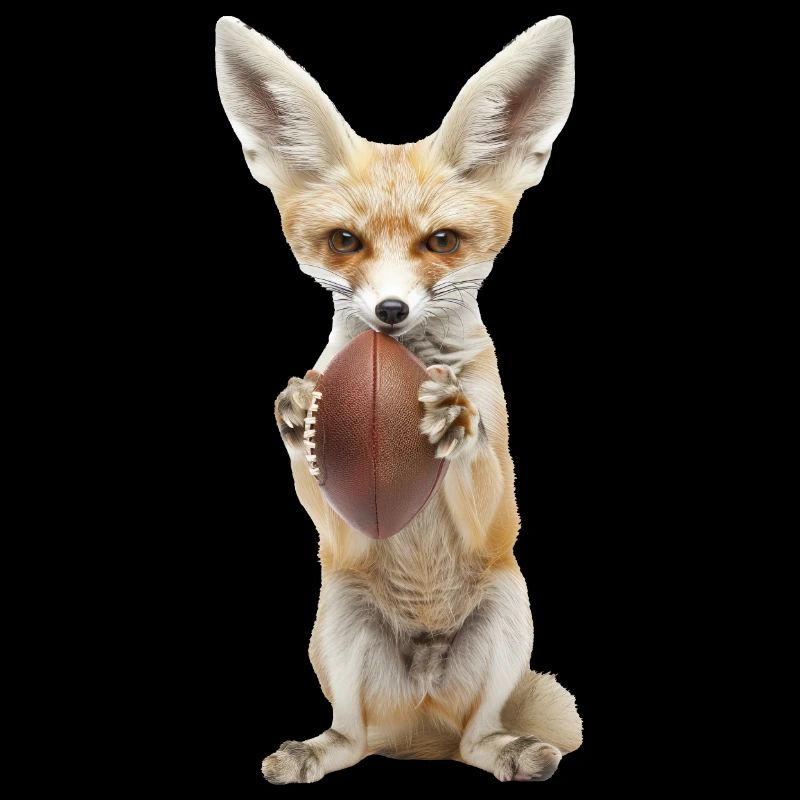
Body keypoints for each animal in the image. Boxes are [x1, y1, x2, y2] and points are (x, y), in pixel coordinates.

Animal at [215, 15, 581, 784]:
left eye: (441, 241)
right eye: (344, 242)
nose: (389, 312)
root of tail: (420, 729)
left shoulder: (496, 516)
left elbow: (482, 467)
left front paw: (456, 419)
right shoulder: (344, 533)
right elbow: (322, 492)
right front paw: (298, 414)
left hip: (510, 612)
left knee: (476, 741)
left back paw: (511, 751)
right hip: (339, 622)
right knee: (353, 738)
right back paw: (315, 751)